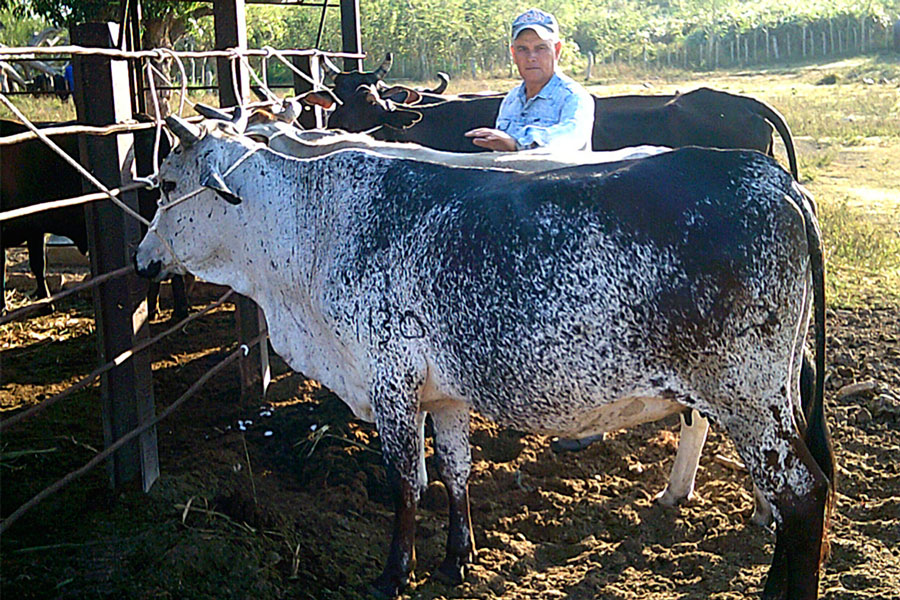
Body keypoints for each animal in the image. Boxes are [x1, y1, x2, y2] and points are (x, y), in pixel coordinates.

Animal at [137, 113, 832, 600]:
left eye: (168, 183)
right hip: (779, 394)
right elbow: (455, 470)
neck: (314, 225)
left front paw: (393, 575)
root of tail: (779, 182)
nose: (143, 260)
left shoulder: (391, 382)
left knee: (802, 491)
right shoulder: (444, 393)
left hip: (746, 396)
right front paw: (456, 558)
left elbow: (407, 481)